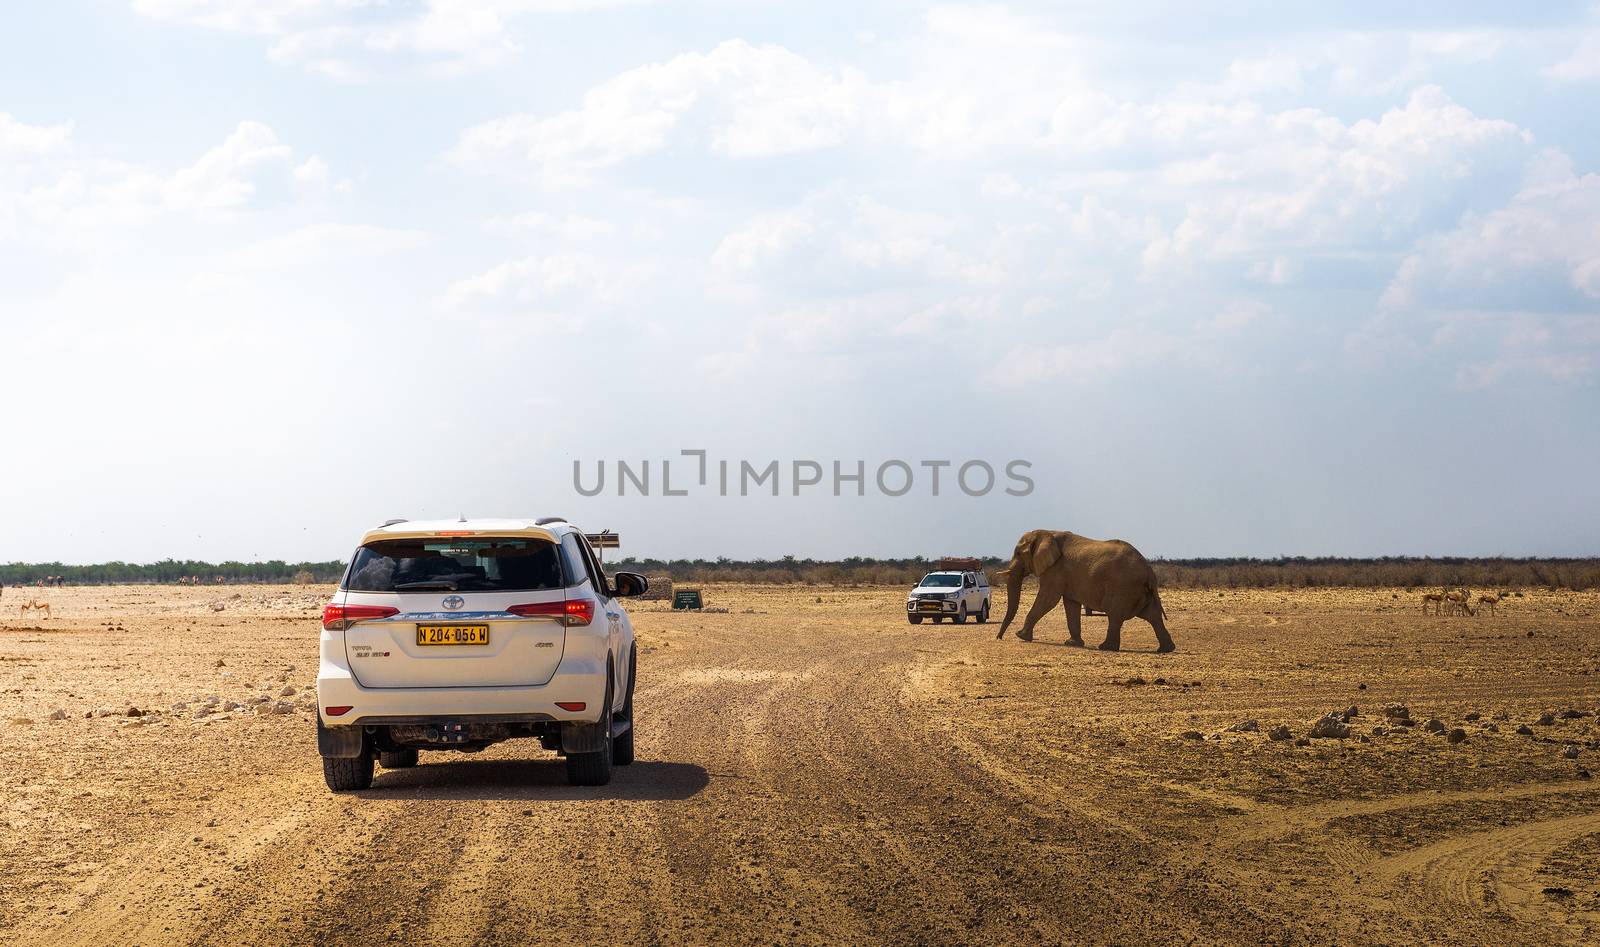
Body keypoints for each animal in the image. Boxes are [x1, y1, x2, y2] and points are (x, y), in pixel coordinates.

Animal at [985, 527, 1177, 655]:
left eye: (1018, 553)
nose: (999, 637)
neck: (1047, 532)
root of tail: (1149, 572)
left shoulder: (1056, 570)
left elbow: (1048, 599)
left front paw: (1021, 636)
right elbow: (1071, 604)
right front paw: (1072, 643)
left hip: (1123, 588)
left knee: (1116, 615)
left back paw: (1105, 647)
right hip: (1141, 592)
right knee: (1153, 616)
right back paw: (1166, 649)